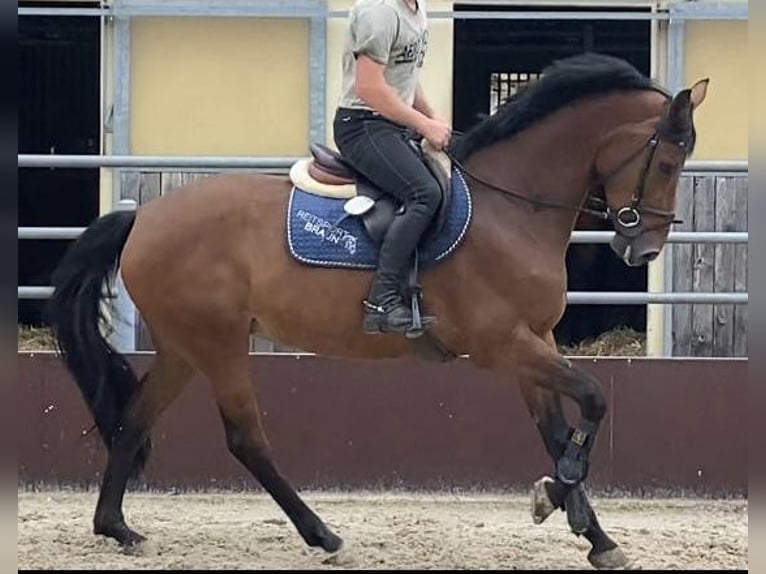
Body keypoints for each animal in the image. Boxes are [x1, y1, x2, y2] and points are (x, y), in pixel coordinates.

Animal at [46, 55, 708, 572]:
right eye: (667, 162)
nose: (644, 249)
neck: (511, 209)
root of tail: (143, 217)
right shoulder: (503, 344)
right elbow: (595, 397)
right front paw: (557, 497)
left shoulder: (535, 342)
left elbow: (554, 430)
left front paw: (592, 532)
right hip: (219, 344)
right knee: (245, 438)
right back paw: (324, 535)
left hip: (185, 347)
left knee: (133, 420)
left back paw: (117, 528)